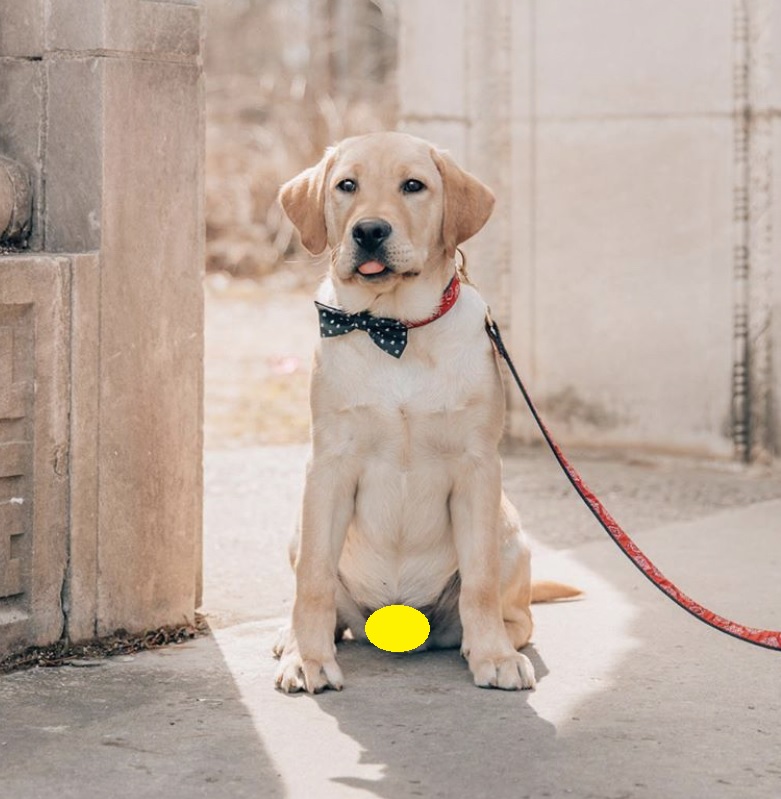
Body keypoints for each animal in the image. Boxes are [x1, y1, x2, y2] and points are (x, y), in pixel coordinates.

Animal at [274, 131, 572, 692]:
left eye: (413, 186)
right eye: (347, 185)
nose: (369, 231)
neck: (396, 329)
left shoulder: (479, 467)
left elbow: (479, 580)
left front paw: (493, 656)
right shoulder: (327, 466)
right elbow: (314, 580)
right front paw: (307, 658)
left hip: (511, 533)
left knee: (513, 613)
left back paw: (488, 640)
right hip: (299, 528)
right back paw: (291, 635)